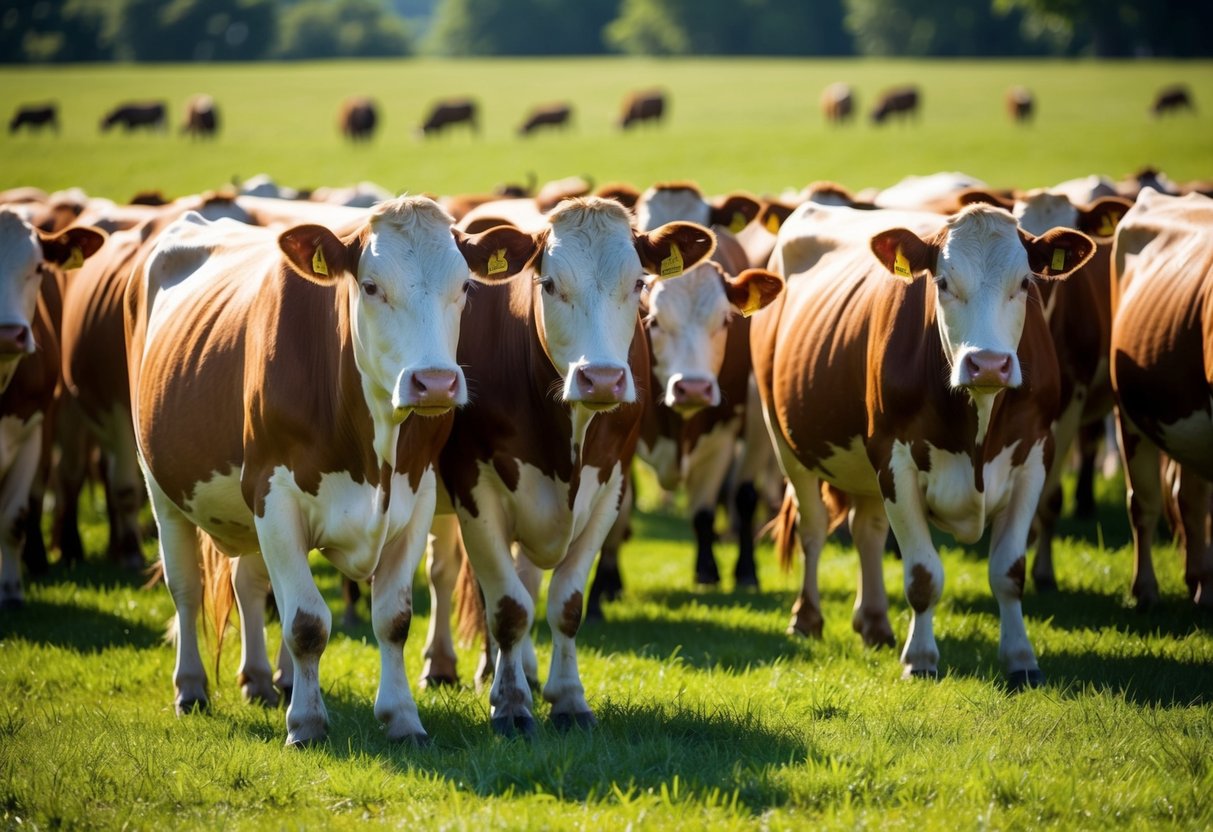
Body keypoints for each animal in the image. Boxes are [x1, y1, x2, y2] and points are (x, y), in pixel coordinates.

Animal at [125, 197, 533, 751]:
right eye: (371, 286)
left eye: (465, 287)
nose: (434, 383)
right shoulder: (273, 497)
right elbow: (306, 623)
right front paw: (306, 723)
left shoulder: (416, 499)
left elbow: (393, 619)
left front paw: (402, 717)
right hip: (162, 489)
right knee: (185, 588)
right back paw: (191, 688)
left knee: (249, 584)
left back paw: (264, 679)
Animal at [436, 197, 713, 737]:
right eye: (548, 284)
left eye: (639, 283)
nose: (601, 378)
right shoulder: (473, 489)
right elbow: (506, 608)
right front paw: (511, 707)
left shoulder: (610, 487)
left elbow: (565, 603)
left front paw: (567, 699)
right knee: (456, 578)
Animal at [752, 198, 1096, 688]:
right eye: (943, 282)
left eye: (1025, 283)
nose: (988, 363)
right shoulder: (896, 461)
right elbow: (922, 575)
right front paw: (921, 658)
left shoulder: (1035, 456)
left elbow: (1010, 571)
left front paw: (1021, 659)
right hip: (786, 440)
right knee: (813, 527)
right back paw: (808, 618)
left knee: (867, 530)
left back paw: (875, 622)